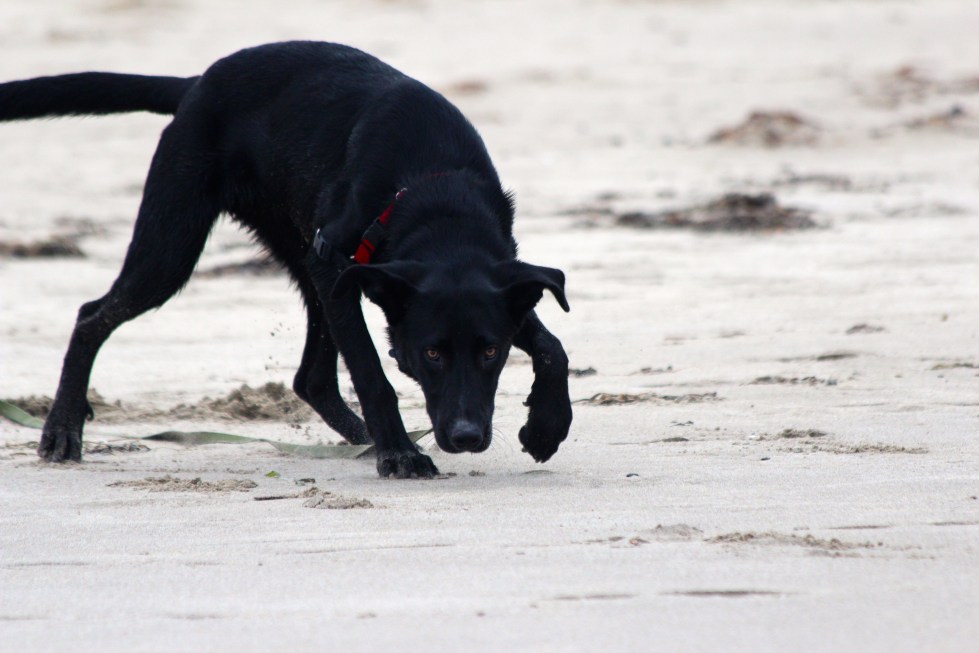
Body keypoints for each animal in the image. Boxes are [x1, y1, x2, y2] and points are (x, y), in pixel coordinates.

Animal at [0, 41, 572, 478]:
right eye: (431, 354)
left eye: (491, 352)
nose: (467, 437)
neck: (436, 193)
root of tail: (196, 85)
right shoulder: (339, 263)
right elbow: (371, 373)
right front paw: (400, 455)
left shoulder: (496, 285)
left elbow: (552, 347)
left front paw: (547, 426)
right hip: (175, 245)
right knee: (93, 315)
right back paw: (62, 429)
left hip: (300, 256)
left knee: (310, 378)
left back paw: (359, 436)